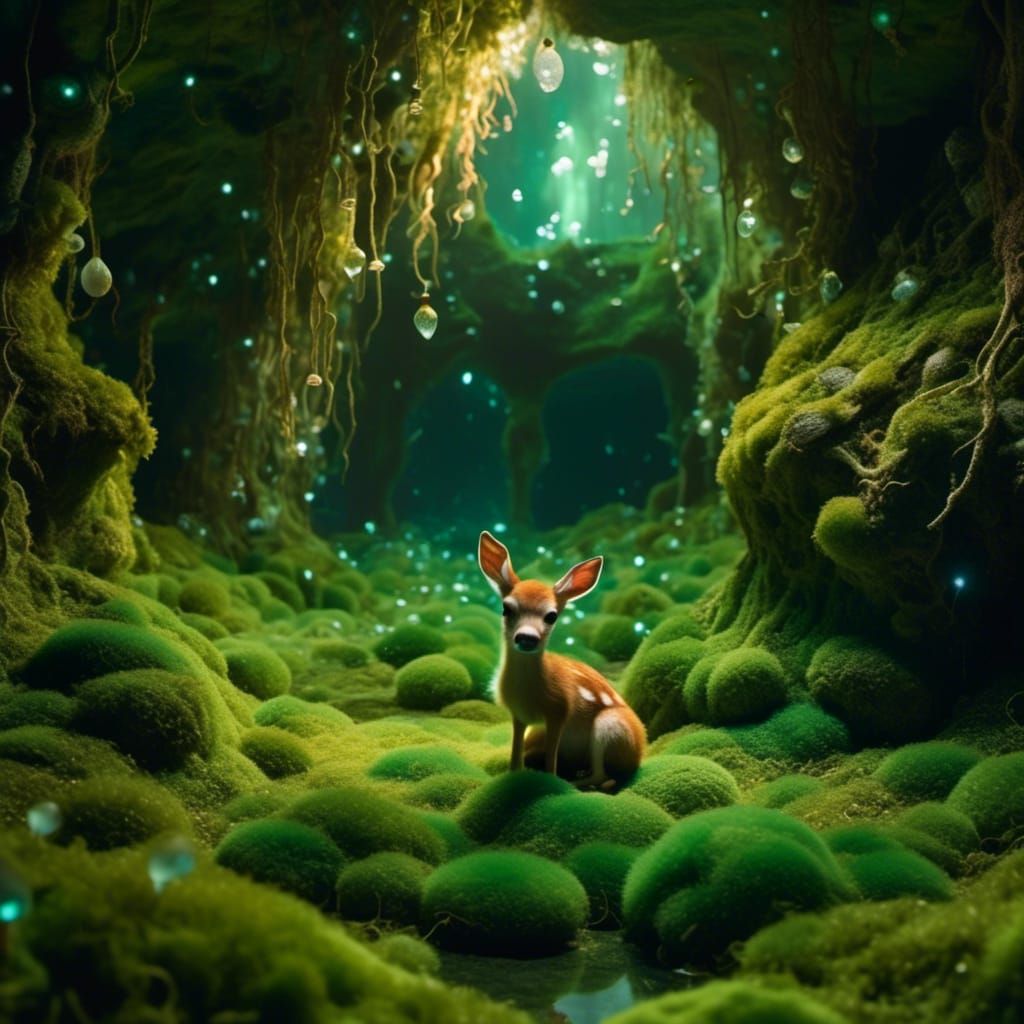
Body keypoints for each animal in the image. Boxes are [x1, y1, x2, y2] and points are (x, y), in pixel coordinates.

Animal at [477, 530, 646, 790]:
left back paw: (578, 782)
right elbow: (516, 753)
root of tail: (642, 747)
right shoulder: (519, 715)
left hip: (609, 727)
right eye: (506, 608)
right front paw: (512, 775)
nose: (527, 637)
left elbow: (551, 758)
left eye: (551, 616)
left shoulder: (560, 708)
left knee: (602, 776)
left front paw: (551, 781)